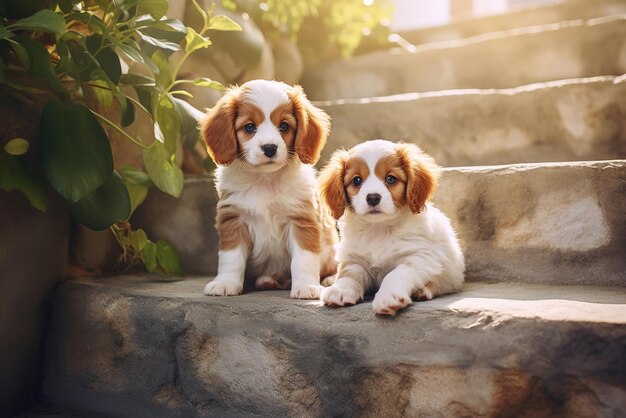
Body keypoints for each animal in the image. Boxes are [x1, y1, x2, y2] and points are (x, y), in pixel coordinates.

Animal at [200, 79, 336, 298]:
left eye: (284, 126)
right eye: (249, 127)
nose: (270, 148)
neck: (265, 179)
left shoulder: (301, 220)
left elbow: (304, 259)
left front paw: (306, 286)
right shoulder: (233, 220)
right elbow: (231, 257)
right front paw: (225, 283)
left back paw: (331, 279)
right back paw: (267, 280)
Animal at [320, 139, 460, 316]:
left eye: (391, 179)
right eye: (356, 180)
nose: (373, 198)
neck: (378, 228)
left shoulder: (419, 257)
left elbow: (395, 274)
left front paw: (388, 297)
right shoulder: (355, 260)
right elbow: (349, 275)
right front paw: (340, 290)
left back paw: (422, 290)